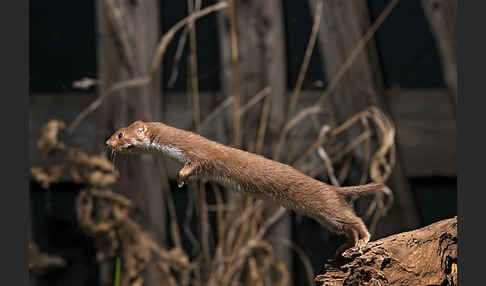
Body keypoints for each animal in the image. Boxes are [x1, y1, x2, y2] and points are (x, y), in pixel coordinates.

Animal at [105, 119, 392, 256]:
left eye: (120, 134)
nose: (107, 143)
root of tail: (333, 188)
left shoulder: (199, 156)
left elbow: (194, 165)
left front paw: (180, 177)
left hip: (327, 207)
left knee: (355, 220)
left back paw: (363, 240)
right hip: (326, 219)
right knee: (346, 226)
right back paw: (345, 247)